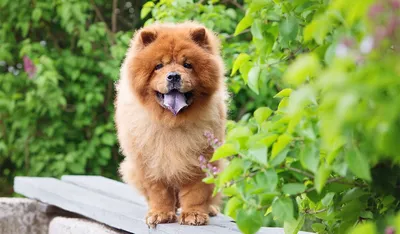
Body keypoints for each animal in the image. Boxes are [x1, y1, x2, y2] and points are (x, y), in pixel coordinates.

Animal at [115, 22, 227, 227]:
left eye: (187, 65)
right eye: (159, 66)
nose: (174, 76)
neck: (171, 122)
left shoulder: (200, 160)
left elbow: (196, 193)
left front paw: (194, 215)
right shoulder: (150, 163)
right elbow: (159, 193)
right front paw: (160, 214)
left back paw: (211, 209)